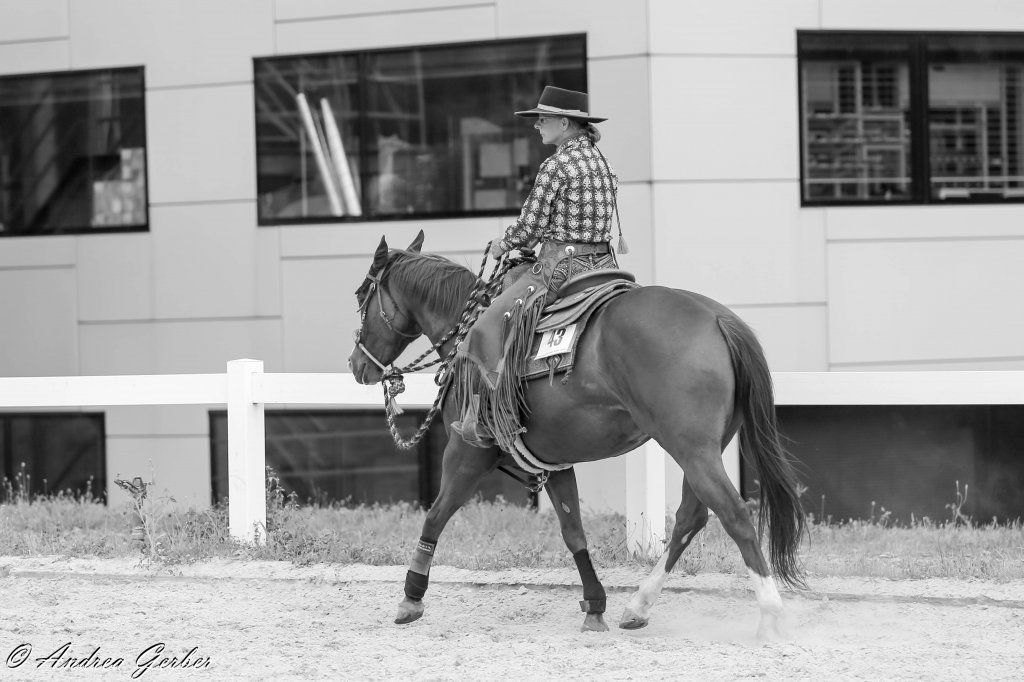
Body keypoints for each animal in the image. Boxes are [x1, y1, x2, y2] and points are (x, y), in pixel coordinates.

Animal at [347, 231, 806, 638]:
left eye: (360, 295)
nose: (357, 364)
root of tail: (717, 317)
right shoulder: (553, 460)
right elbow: (574, 531)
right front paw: (595, 604)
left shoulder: (466, 452)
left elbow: (436, 514)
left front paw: (411, 596)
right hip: (705, 449)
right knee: (690, 518)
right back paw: (637, 607)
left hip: (691, 449)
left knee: (734, 515)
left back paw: (770, 614)